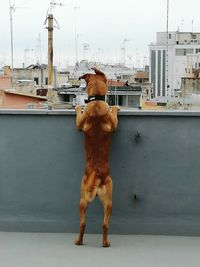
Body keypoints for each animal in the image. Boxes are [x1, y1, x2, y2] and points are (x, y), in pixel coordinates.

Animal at [74, 68, 119, 248]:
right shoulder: (113, 124)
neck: (97, 102)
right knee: (103, 224)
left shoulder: (80, 124)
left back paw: (81, 241)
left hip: (84, 199)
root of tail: (96, 172)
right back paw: (103, 243)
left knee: (84, 223)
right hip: (107, 199)